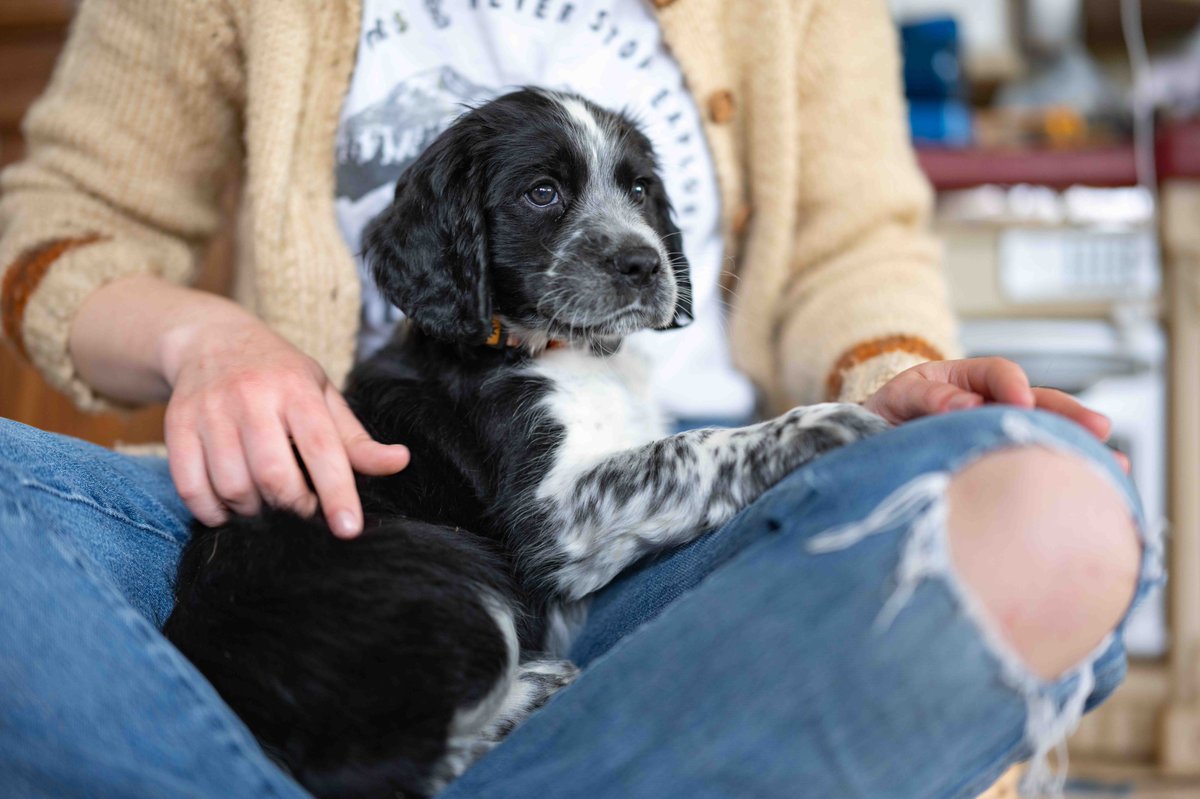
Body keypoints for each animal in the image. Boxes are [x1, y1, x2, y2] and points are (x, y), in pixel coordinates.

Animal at [164, 88, 888, 796]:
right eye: (542, 193)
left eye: (640, 189)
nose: (645, 263)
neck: (571, 350)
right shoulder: (549, 516)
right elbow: (688, 447)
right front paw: (819, 423)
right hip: (453, 572)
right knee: (388, 765)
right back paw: (538, 687)